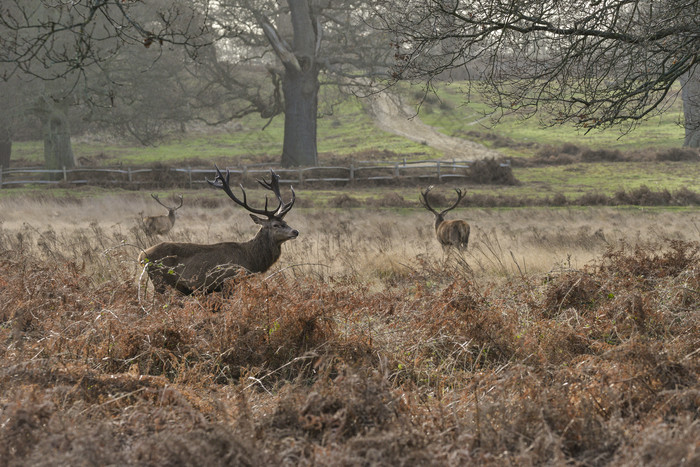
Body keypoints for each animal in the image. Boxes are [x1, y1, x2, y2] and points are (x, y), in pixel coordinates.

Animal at [139, 166, 298, 294]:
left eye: (285, 222)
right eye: (275, 225)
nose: (295, 231)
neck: (251, 260)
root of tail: (141, 256)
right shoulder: (228, 281)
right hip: (161, 281)